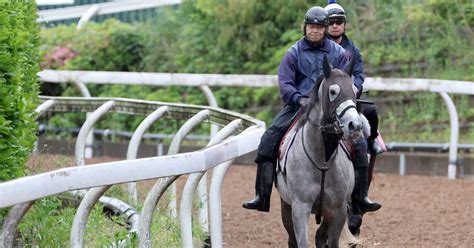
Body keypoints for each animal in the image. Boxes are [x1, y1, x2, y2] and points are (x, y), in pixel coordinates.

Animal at [276, 57, 362, 247]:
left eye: (354, 90)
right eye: (333, 91)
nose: (355, 125)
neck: (322, 159)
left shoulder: (338, 209)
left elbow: (331, 240)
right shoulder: (300, 207)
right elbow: (302, 241)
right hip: (286, 205)